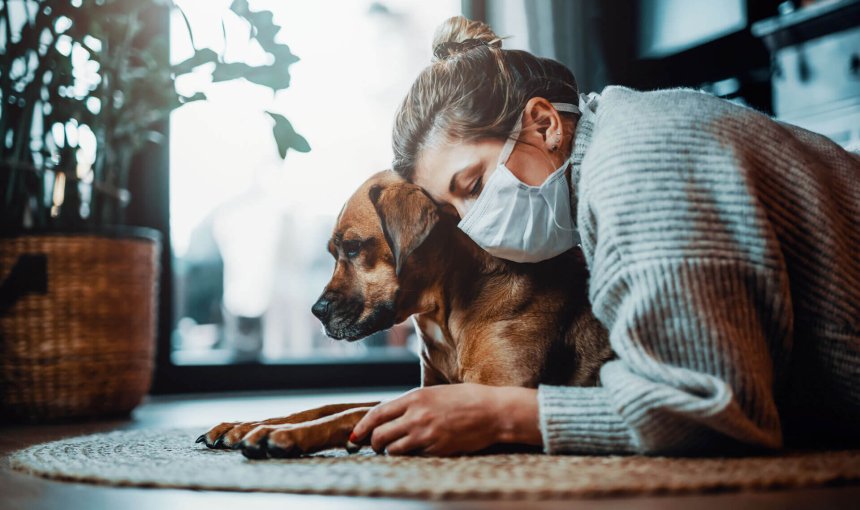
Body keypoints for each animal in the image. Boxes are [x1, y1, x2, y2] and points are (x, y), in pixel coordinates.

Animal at [198, 170, 612, 458]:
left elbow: (355, 412)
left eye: (353, 247)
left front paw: (281, 435)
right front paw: (245, 424)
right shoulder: (432, 390)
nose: (315, 312)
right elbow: (334, 405)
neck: (447, 311)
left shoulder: (493, 396)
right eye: (333, 252)